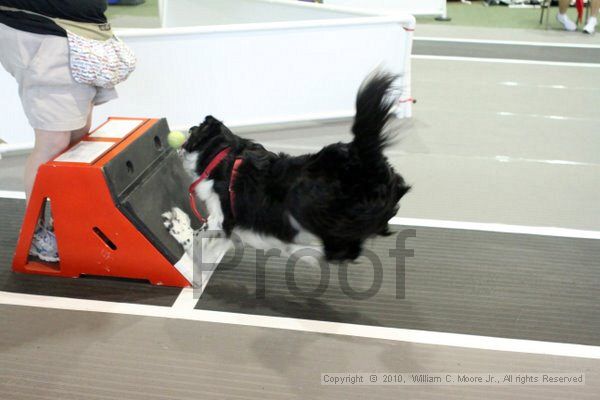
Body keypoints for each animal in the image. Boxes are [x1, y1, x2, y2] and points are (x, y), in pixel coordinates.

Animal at [162, 72, 410, 262]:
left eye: (193, 130)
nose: (182, 134)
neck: (222, 156)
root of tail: (366, 157)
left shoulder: (222, 217)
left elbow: (196, 237)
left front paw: (177, 224)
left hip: (308, 202)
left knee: (338, 252)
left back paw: (297, 247)